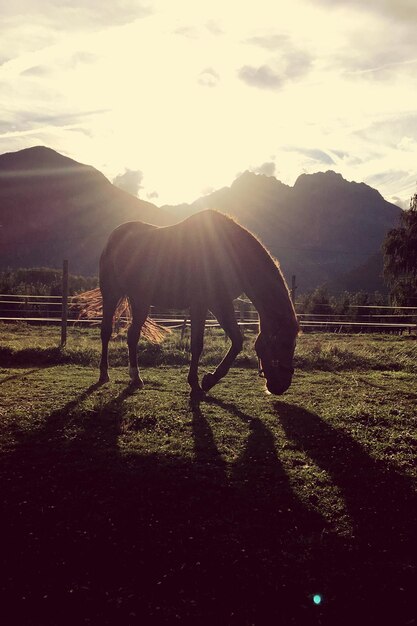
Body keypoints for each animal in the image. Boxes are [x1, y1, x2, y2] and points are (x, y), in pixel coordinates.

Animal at [80, 210, 296, 394]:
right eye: (284, 343)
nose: (282, 386)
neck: (229, 253)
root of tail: (114, 237)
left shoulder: (220, 303)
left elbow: (236, 340)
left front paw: (209, 380)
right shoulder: (201, 304)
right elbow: (197, 344)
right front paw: (196, 383)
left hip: (140, 299)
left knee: (132, 335)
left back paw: (134, 378)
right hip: (112, 294)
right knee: (107, 332)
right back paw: (106, 374)